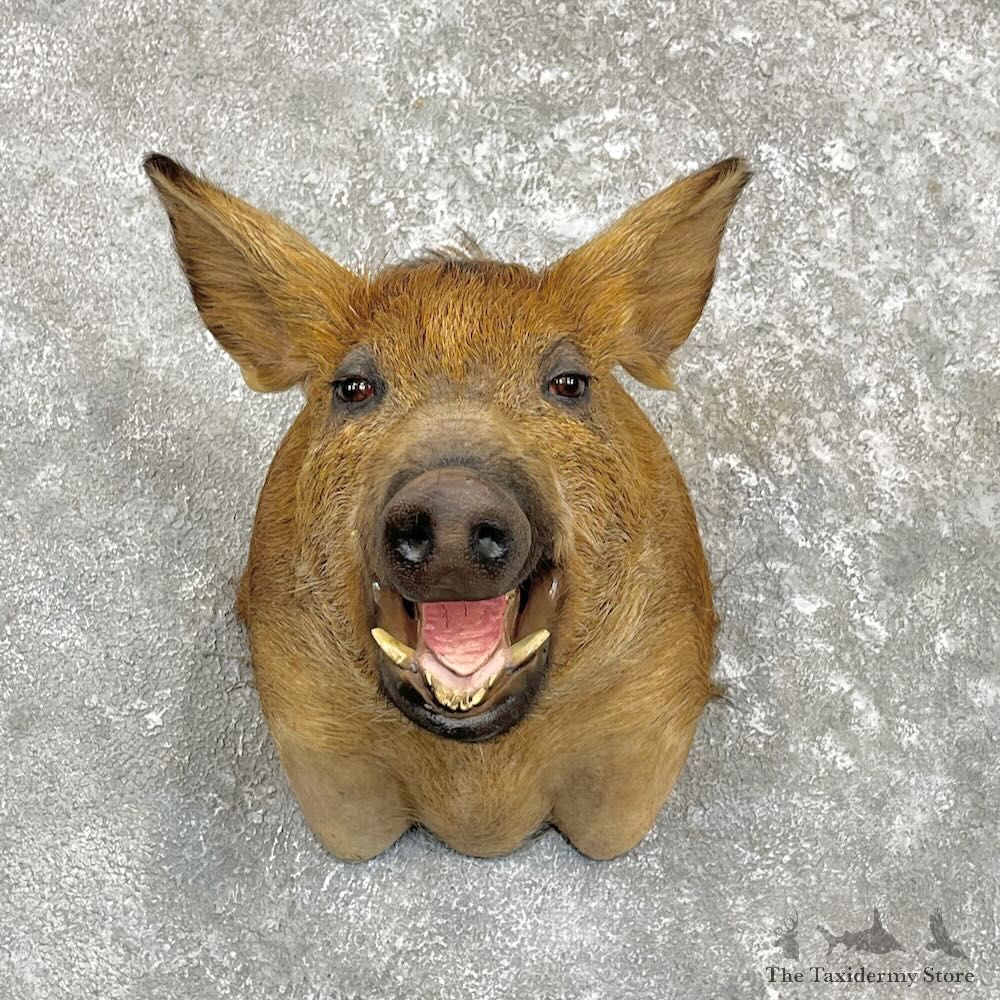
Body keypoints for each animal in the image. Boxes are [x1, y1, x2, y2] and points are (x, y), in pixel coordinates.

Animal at [144, 152, 749, 860]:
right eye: (353, 388)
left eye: (569, 383)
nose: (454, 497)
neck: (478, 808)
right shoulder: (314, 738)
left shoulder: (647, 719)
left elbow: (610, 836)